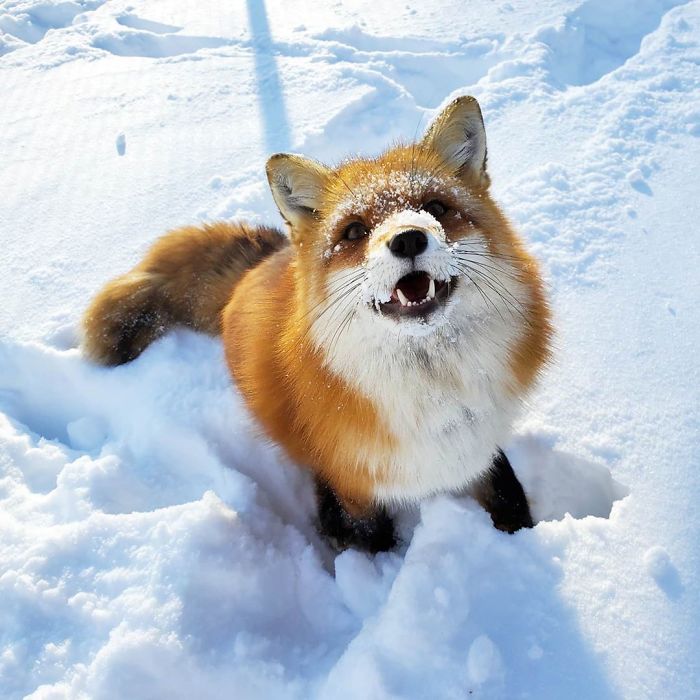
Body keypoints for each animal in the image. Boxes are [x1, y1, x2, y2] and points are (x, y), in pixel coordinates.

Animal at [82, 96, 552, 552]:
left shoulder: (482, 452)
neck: (433, 395)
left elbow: (509, 498)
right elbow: (371, 543)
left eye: (436, 207)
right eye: (355, 231)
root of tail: (270, 258)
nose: (408, 239)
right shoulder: (355, 486)